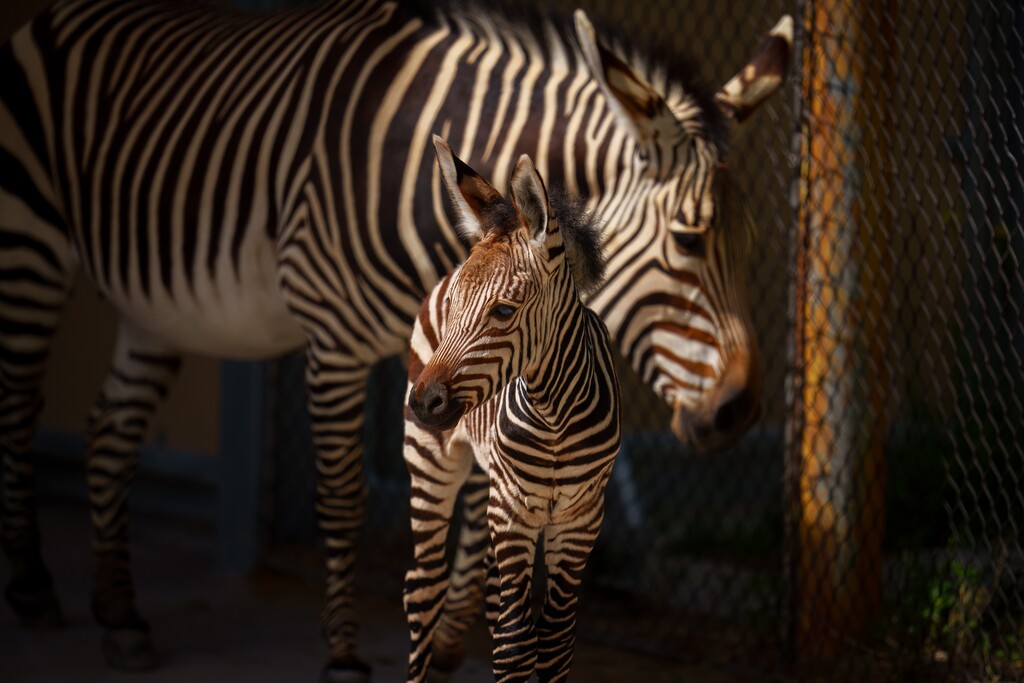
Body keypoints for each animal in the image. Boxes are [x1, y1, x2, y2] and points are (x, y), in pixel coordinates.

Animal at [404, 136, 621, 682]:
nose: (422, 403)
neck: (555, 416)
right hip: (430, 464)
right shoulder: (512, 508)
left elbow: (555, 640)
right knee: (422, 590)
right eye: (457, 307)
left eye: (503, 311)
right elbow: (515, 643)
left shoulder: (581, 516)